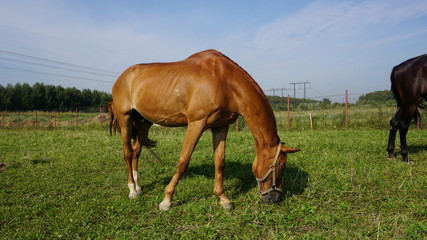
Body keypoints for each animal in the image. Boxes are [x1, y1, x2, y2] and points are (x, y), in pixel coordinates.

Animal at [112, 49, 300, 210]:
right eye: (281, 166)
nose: (274, 198)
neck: (224, 81)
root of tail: (123, 76)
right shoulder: (197, 124)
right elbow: (183, 161)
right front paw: (167, 199)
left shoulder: (221, 126)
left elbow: (220, 162)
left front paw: (223, 198)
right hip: (125, 119)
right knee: (127, 153)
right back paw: (132, 190)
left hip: (144, 123)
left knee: (136, 151)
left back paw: (138, 186)